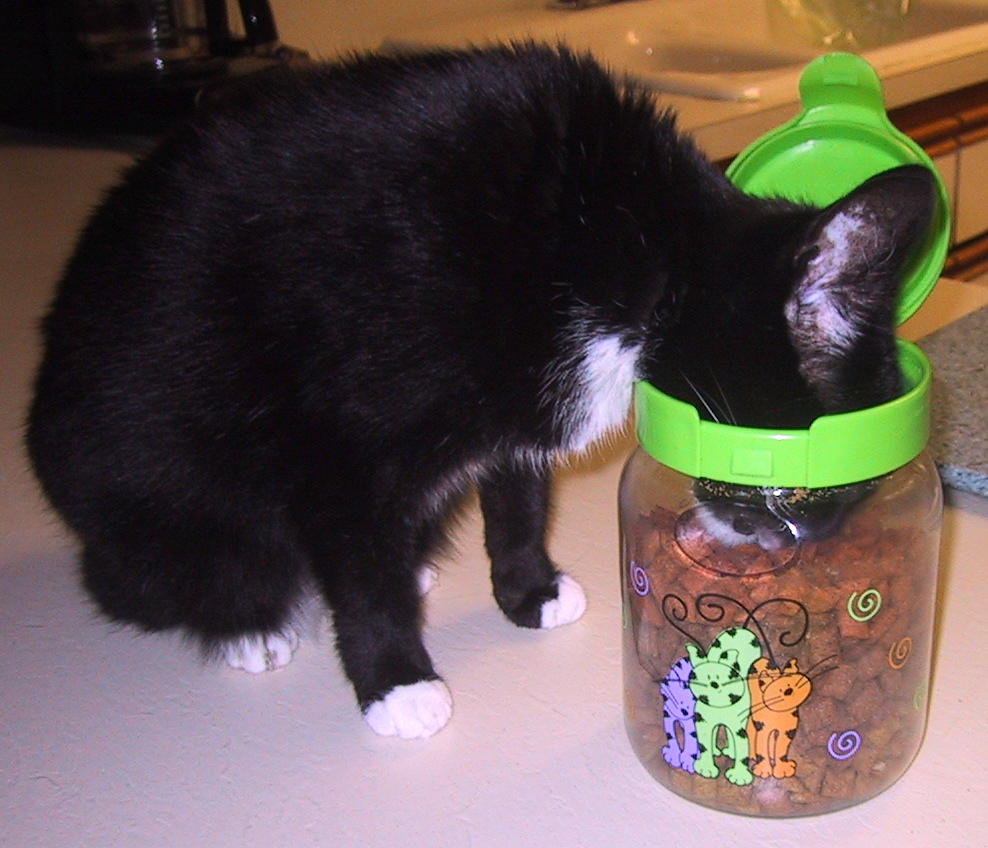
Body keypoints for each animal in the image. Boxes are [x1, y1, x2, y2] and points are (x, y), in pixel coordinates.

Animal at [26, 43, 936, 739]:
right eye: (810, 489)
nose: (814, 539)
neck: (640, 247)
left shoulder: (517, 395)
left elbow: (518, 489)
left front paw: (530, 588)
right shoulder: (338, 425)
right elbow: (360, 565)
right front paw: (394, 679)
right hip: (157, 491)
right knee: (175, 569)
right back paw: (253, 621)